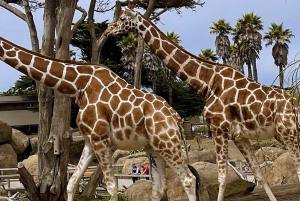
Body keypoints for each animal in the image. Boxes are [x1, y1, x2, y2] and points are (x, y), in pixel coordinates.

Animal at [0, 36, 202, 201]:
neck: (77, 85)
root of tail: (176, 118)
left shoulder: (101, 140)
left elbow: (112, 188)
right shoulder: (90, 142)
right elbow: (71, 184)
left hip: (168, 143)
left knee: (188, 179)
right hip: (154, 147)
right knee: (158, 188)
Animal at [104, 6, 300, 201]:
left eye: (122, 18)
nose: (108, 31)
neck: (207, 82)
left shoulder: (218, 128)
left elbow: (222, 177)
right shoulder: (239, 136)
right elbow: (258, 173)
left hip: (289, 131)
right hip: (282, 134)